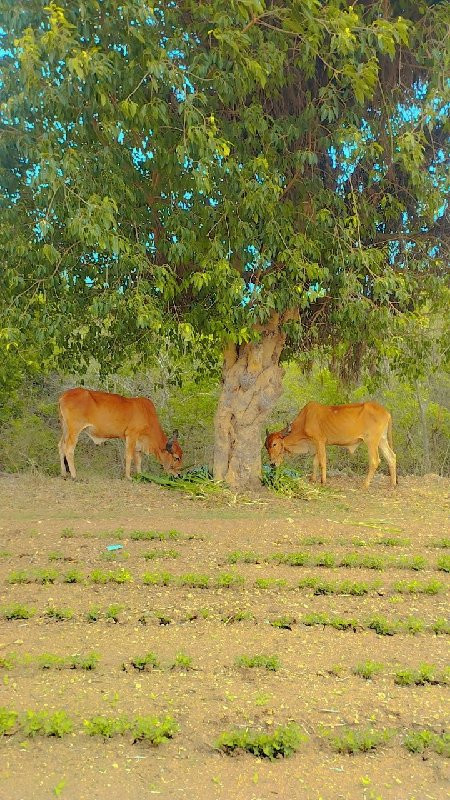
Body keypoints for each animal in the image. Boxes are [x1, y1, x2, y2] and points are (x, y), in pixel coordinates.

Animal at [266, 400, 396, 488]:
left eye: (274, 444)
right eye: (266, 446)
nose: (272, 463)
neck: (305, 420)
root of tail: (386, 412)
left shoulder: (319, 441)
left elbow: (322, 462)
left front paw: (323, 481)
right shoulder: (317, 444)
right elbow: (315, 462)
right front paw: (313, 479)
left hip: (371, 441)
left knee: (375, 461)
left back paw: (365, 484)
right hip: (382, 440)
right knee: (391, 457)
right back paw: (392, 484)